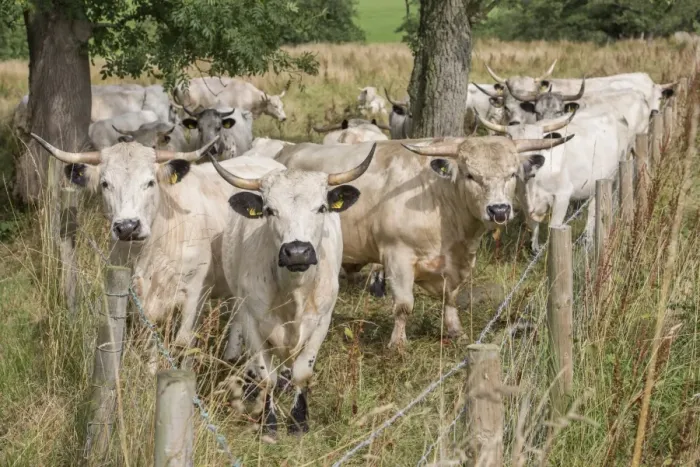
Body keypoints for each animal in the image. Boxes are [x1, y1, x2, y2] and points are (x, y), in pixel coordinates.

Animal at [28, 133, 287, 372]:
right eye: (105, 184)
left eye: (150, 182)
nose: (127, 227)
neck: (150, 253)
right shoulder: (137, 294)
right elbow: (151, 338)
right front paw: (152, 372)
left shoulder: (195, 292)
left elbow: (185, 342)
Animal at [207, 144, 375, 435]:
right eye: (269, 210)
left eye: (321, 207)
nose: (297, 251)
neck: (294, 294)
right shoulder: (252, 320)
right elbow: (266, 375)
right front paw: (269, 422)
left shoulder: (322, 321)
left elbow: (302, 372)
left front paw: (298, 420)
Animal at [274, 135, 573, 348]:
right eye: (470, 175)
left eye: (511, 174)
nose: (499, 210)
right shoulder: (397, 256)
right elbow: (404, 304)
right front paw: (398, 344)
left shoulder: (457, 261)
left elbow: (451, 297)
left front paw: (455, 331)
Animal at [476, 110, 629, 252]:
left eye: (539, 142)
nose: (528, 165)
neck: (532, 184)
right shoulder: (523, 199)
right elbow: (533, 226)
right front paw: (534, 249)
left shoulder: (563, 195)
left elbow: (553, 226)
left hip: (613, 175)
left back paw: (588, 242)